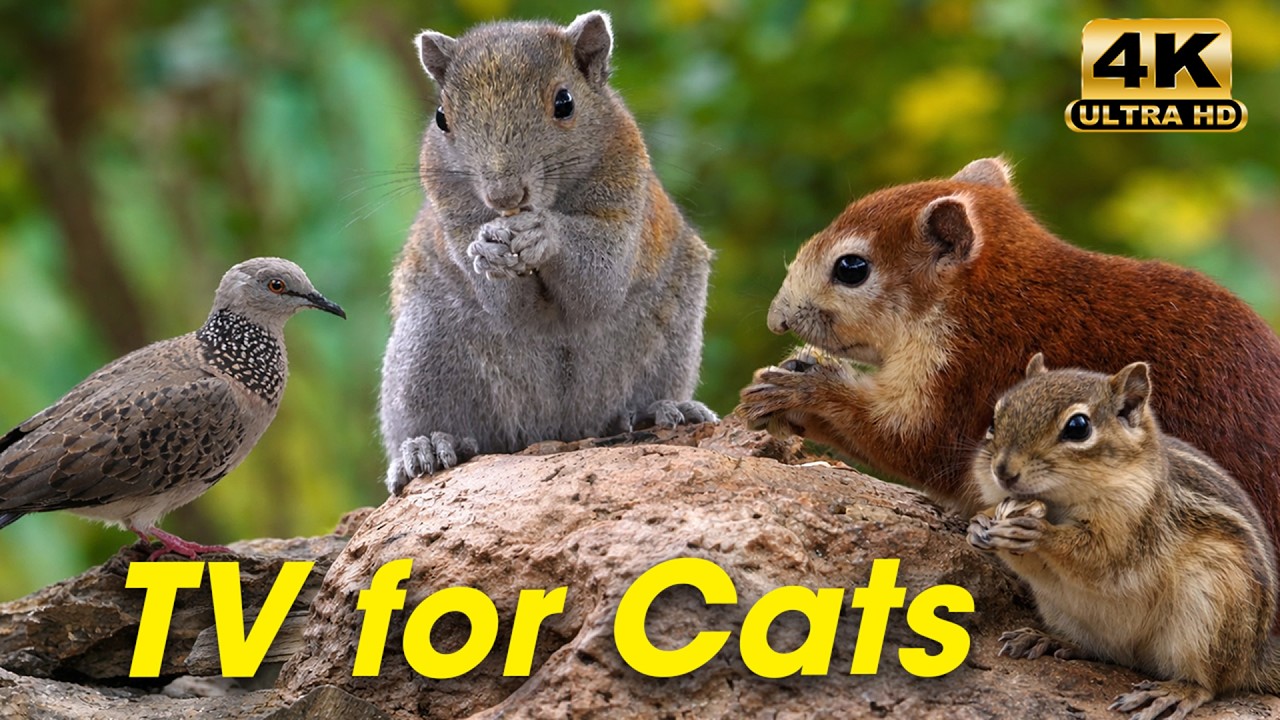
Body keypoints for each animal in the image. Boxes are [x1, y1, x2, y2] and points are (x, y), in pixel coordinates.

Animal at [378, 11, 715, 494]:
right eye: (442, 118)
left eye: (564, 102)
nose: (503, 195)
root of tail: (557, 429)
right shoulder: (453, 216)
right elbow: (507, 302)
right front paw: (488, 251)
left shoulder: (625, 198)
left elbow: (600, 281)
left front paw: (543, 234)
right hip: (426, 344)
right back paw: (428, 445)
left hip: (668, 335)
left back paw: (657, 411)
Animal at [736, 157, 1280, 563]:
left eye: (852, 268)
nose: (775, 320)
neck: (991, 295)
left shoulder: (969, 372)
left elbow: (908, 442)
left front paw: (801, 391)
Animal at [967, 354, 1280, 719]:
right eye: (994, 420)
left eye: (1078, 427)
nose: (1002, 471)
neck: (1059, 503)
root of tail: (1255, 656)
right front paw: (978, 524)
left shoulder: (1133, 528)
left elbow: (1097, 558)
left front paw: (1039, 533)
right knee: (1102, 651)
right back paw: (1048, 639)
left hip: (1210, 616)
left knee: (1213, 683)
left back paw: (1173, 692)